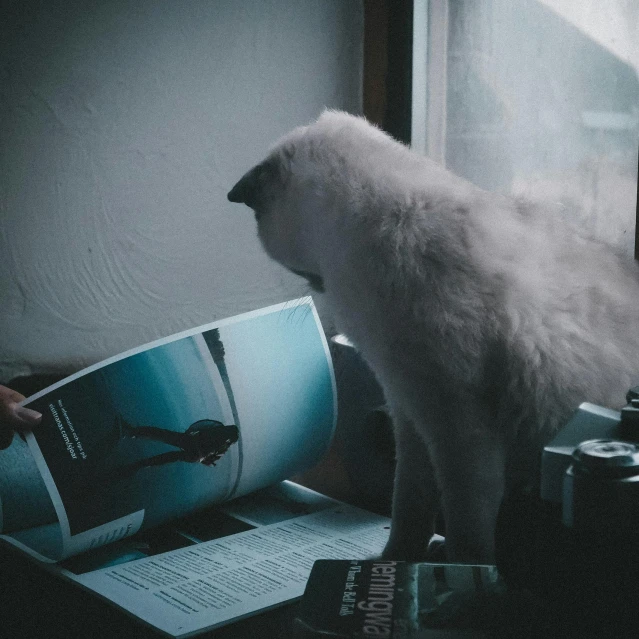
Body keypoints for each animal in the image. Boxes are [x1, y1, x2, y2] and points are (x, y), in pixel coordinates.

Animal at [228, 112, 639, 564]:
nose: (315, 288)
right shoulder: (410, 410)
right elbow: (409, 505)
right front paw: (394, 565)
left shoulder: (457, 428)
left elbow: (466, 530)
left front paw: (455, 574)